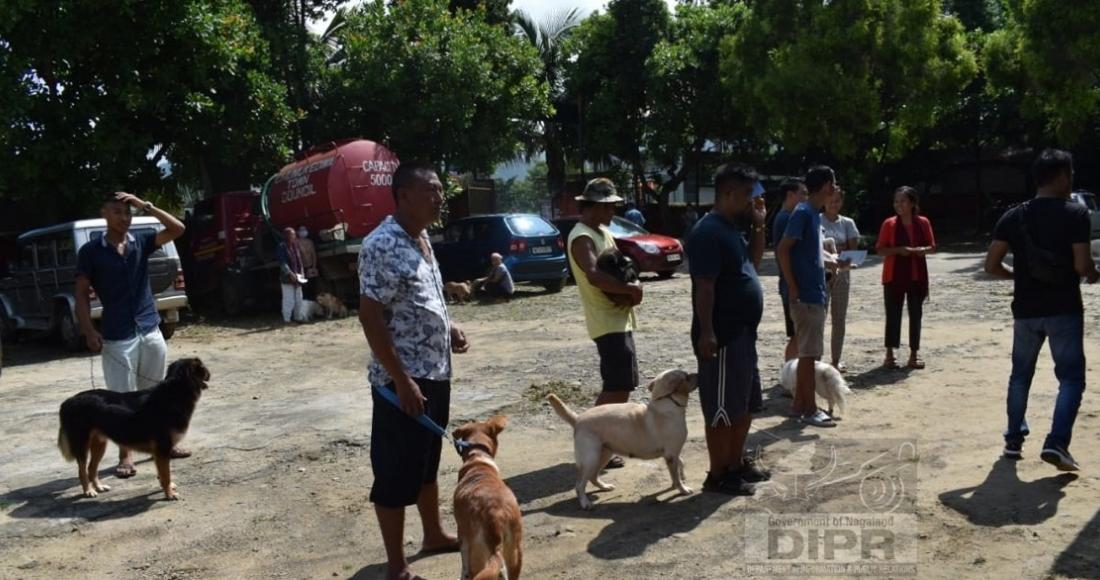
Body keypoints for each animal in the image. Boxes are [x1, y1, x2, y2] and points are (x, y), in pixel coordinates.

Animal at [55, 356, 211, 501]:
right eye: (203, 369)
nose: (210, 374)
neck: (174, 393)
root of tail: (68, 401)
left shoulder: (160, 452)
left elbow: (162, 474)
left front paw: (167, 488)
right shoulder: (162, 449)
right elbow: (166, 474)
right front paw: (169, 494)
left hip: (99, 444)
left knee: (91, 468)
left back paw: (99, 487)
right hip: (82, 445)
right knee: (82, 470)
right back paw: (88, 491)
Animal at [453, 418, 525, 580]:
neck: (478, 458)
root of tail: (496, 518)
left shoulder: (463, 535)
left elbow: (464, 565)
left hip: (480, 553)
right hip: (515, 550)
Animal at [547, 369, 695, 510]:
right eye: (686, 376)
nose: (698, 374)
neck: (666, 404)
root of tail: (578, 419)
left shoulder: (672, 454)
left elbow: (680, 464)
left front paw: (681, 477)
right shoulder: (671, 454)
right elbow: (676, 477)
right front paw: (682, 489)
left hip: (604, 455)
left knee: (593, 477)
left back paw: (605, 487)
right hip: (591, 459)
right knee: (579, 485)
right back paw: (585, 503)